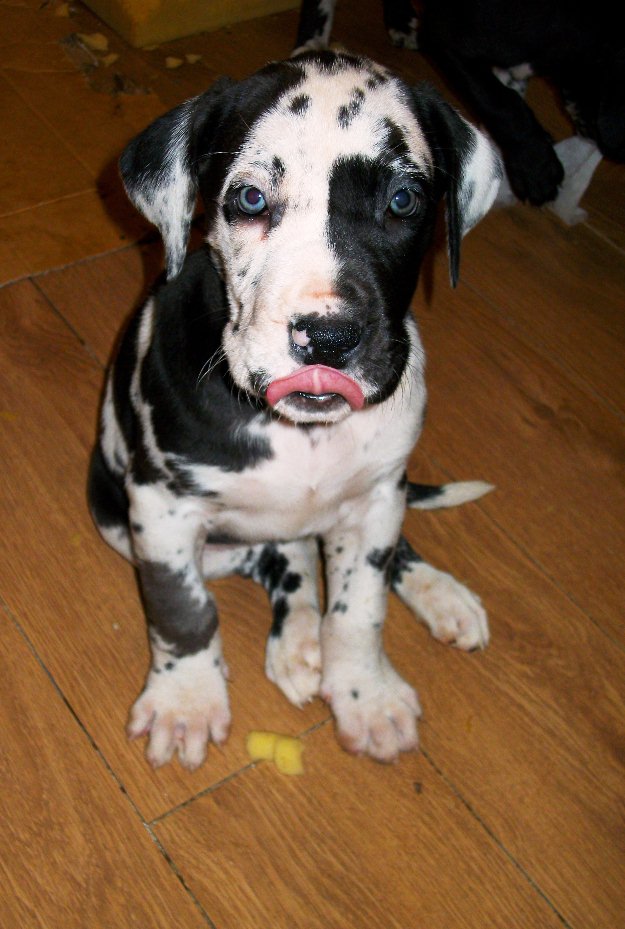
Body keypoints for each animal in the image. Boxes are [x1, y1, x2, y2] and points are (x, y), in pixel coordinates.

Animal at [88, 49, 500, 768]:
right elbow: (181, 609)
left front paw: (365, 691)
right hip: (127, 518)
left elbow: (360, 606)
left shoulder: (374, 502)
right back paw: (299, 636)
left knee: (349, 553)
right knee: (282, 559)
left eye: (403, 200)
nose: (328, 339)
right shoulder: (161, 509)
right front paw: (186, 700)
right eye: (250, 198)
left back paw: (436, 595)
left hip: (387, 493)